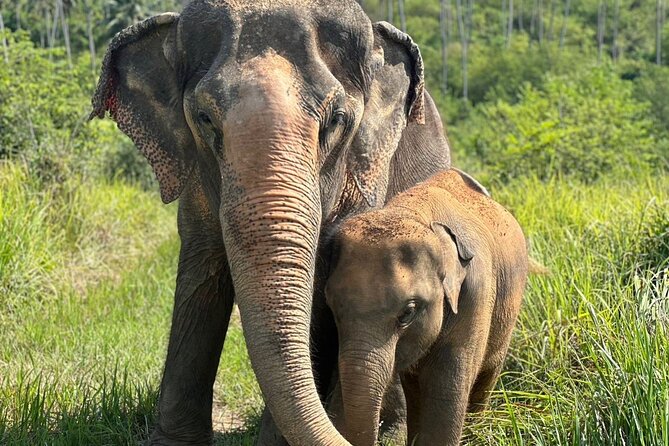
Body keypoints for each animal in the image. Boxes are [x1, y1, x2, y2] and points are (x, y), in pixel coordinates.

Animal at [324, 168, 529, 446]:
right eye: (332, 308)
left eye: (408, 313)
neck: (415, 215)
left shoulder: (475, 296)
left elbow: (445, 393)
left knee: (487, 375)